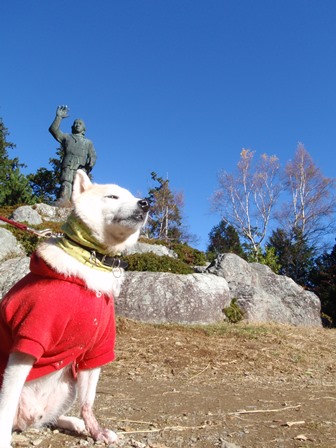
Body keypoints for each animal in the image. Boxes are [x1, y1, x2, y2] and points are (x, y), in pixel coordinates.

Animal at [0, 170, 148, 446]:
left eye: (135, 197)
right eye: (112, 196)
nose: (145, 204)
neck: (93, 258)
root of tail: (26, 421)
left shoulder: (96, 351)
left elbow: (87, 403)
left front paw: (95, 431)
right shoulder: (28, 340)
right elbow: (6, 403)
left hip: (68, 385)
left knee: (53, 418)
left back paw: (74, 423)